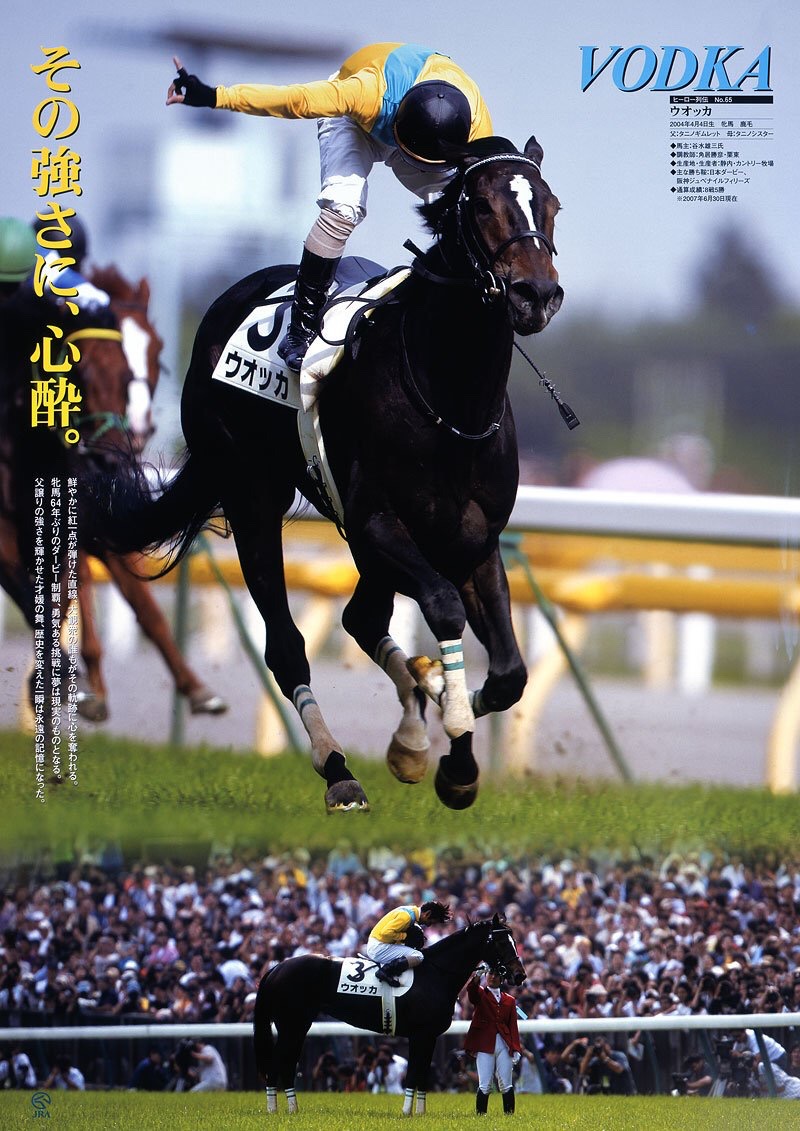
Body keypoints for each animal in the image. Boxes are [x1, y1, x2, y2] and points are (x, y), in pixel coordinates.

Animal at [83, 134, 563, 811]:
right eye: (481, 207)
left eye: (550, 205)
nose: (536, 294)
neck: (452, 403)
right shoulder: (376, 521)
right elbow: (442, 609)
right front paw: (453, 749)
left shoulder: (474, 537)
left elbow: (508, 675)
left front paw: (443, 731)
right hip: (253, 492)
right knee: (287, 646)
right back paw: (339, 768)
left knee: (361, 618)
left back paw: (411, 728)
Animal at [252, 913, 524, 1115]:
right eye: (501, 942)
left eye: (513, 940)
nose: (520, 975)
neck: (435, 974)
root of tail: (277, 968)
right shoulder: (420, 1035)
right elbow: (414, 1072)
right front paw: (407, 1112)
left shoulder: (429, 1037)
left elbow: (422, 1073)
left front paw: (420, 1113)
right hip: (291, 1025)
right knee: (278, 1065)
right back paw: (273, 1110)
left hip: (298, 1026)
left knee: (287, 1065)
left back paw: (292, 1108)